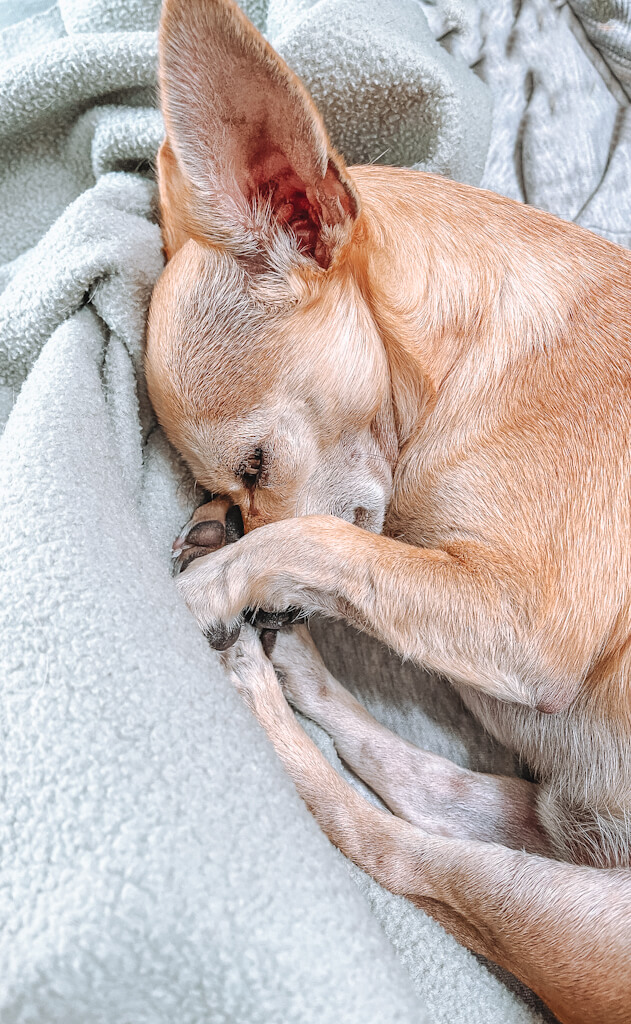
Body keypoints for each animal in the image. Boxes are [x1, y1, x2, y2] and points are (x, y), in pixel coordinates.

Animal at [145, 2, 631, 1024]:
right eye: (235, 479)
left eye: (255, 461)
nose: (226, 513)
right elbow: (338, 558)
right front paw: (230, 559)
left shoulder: (522, 625)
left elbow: (317, 540)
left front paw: (212, 585)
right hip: (534, 838)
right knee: (414, 783)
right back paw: (287, 664)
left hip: (561, 908)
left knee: (382, 843)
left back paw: (256, 684)